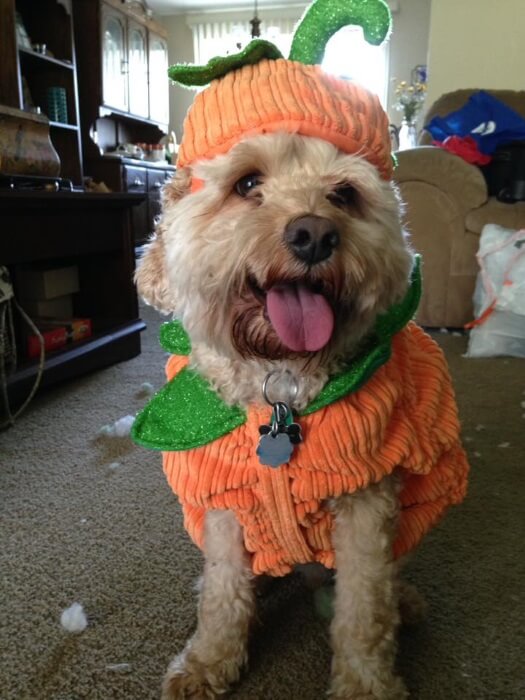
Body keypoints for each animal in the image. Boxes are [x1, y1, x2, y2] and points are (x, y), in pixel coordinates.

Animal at [133, 6, 468, 700]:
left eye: (344, 194)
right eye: (247, 183)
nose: (314, 233)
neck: (280, 384)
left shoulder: (368, 501)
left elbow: (364, 609)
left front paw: (367, 683)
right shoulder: (223, 502)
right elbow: (225, 594)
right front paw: (209, 660)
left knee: (386, 582)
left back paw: (407, 602)